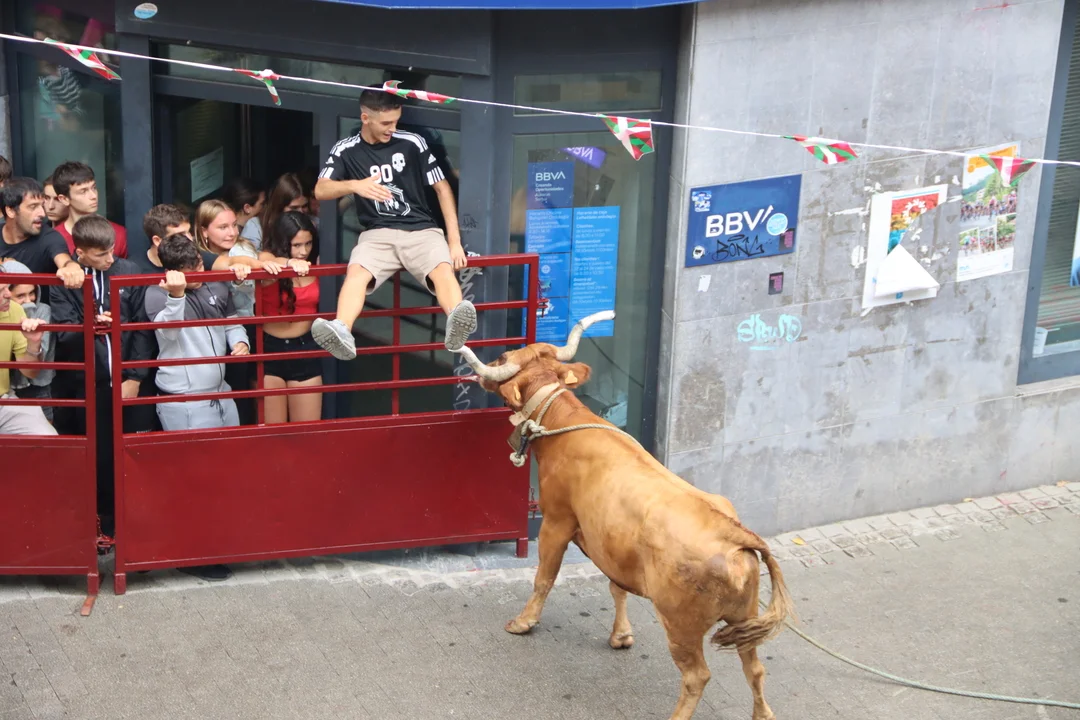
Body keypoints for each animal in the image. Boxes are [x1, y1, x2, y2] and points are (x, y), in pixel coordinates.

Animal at [454, 311, 794, 720]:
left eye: (504, 358)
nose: (489, 363)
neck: (562, 424)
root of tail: (735, 533)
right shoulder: (611, 543)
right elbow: (616, 586)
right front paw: (621, 635)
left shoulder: (557, 521)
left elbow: (543, 578)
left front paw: (524, 622)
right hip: (745, 618)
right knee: (755, 668)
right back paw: (763, 713)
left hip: (680, 624)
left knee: (697, 676)